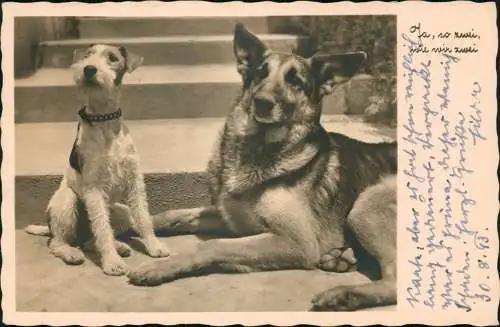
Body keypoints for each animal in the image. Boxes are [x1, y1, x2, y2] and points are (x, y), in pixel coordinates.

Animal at [127, 23, 396, 312]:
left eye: (295, 81)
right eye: (260, 73)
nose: (263, 102)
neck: (257, 150)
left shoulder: (295, 241)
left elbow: (212, 246)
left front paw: (161, 267)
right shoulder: (230, 216)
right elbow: (175, 214)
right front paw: (135, 223)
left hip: (366, 204)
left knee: (394, 281)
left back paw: (343, 294)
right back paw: (341, 260)